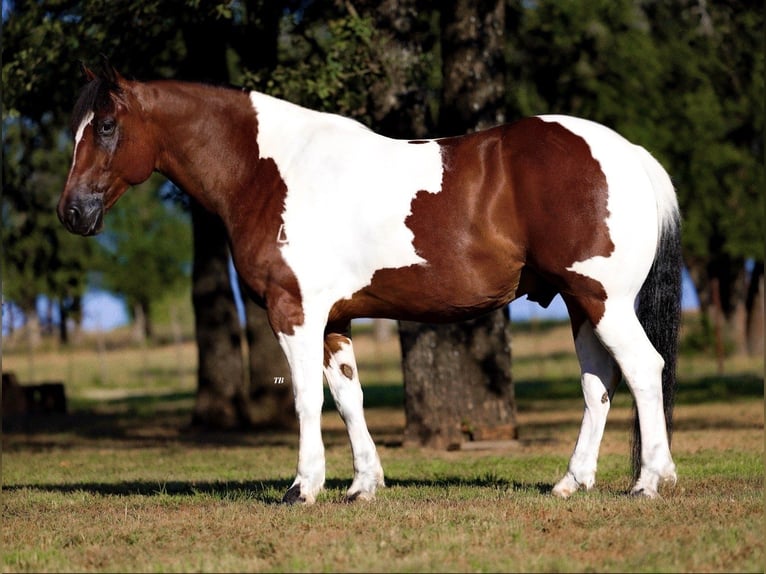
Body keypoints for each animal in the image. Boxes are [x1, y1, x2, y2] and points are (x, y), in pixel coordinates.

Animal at [60, 60, 684, 506]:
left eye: (107, 126)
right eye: (76, 129)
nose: (72, 212)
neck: (267, 172)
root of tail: (628, 152)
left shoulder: (294, 311)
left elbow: (307, 398)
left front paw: (303, 487)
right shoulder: (334, 319)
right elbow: (347, 398)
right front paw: (363, 485)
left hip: (604, 300)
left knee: (643, 369)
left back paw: (651, 481)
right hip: (582, 304)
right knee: (599, 383)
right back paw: (572, 482)